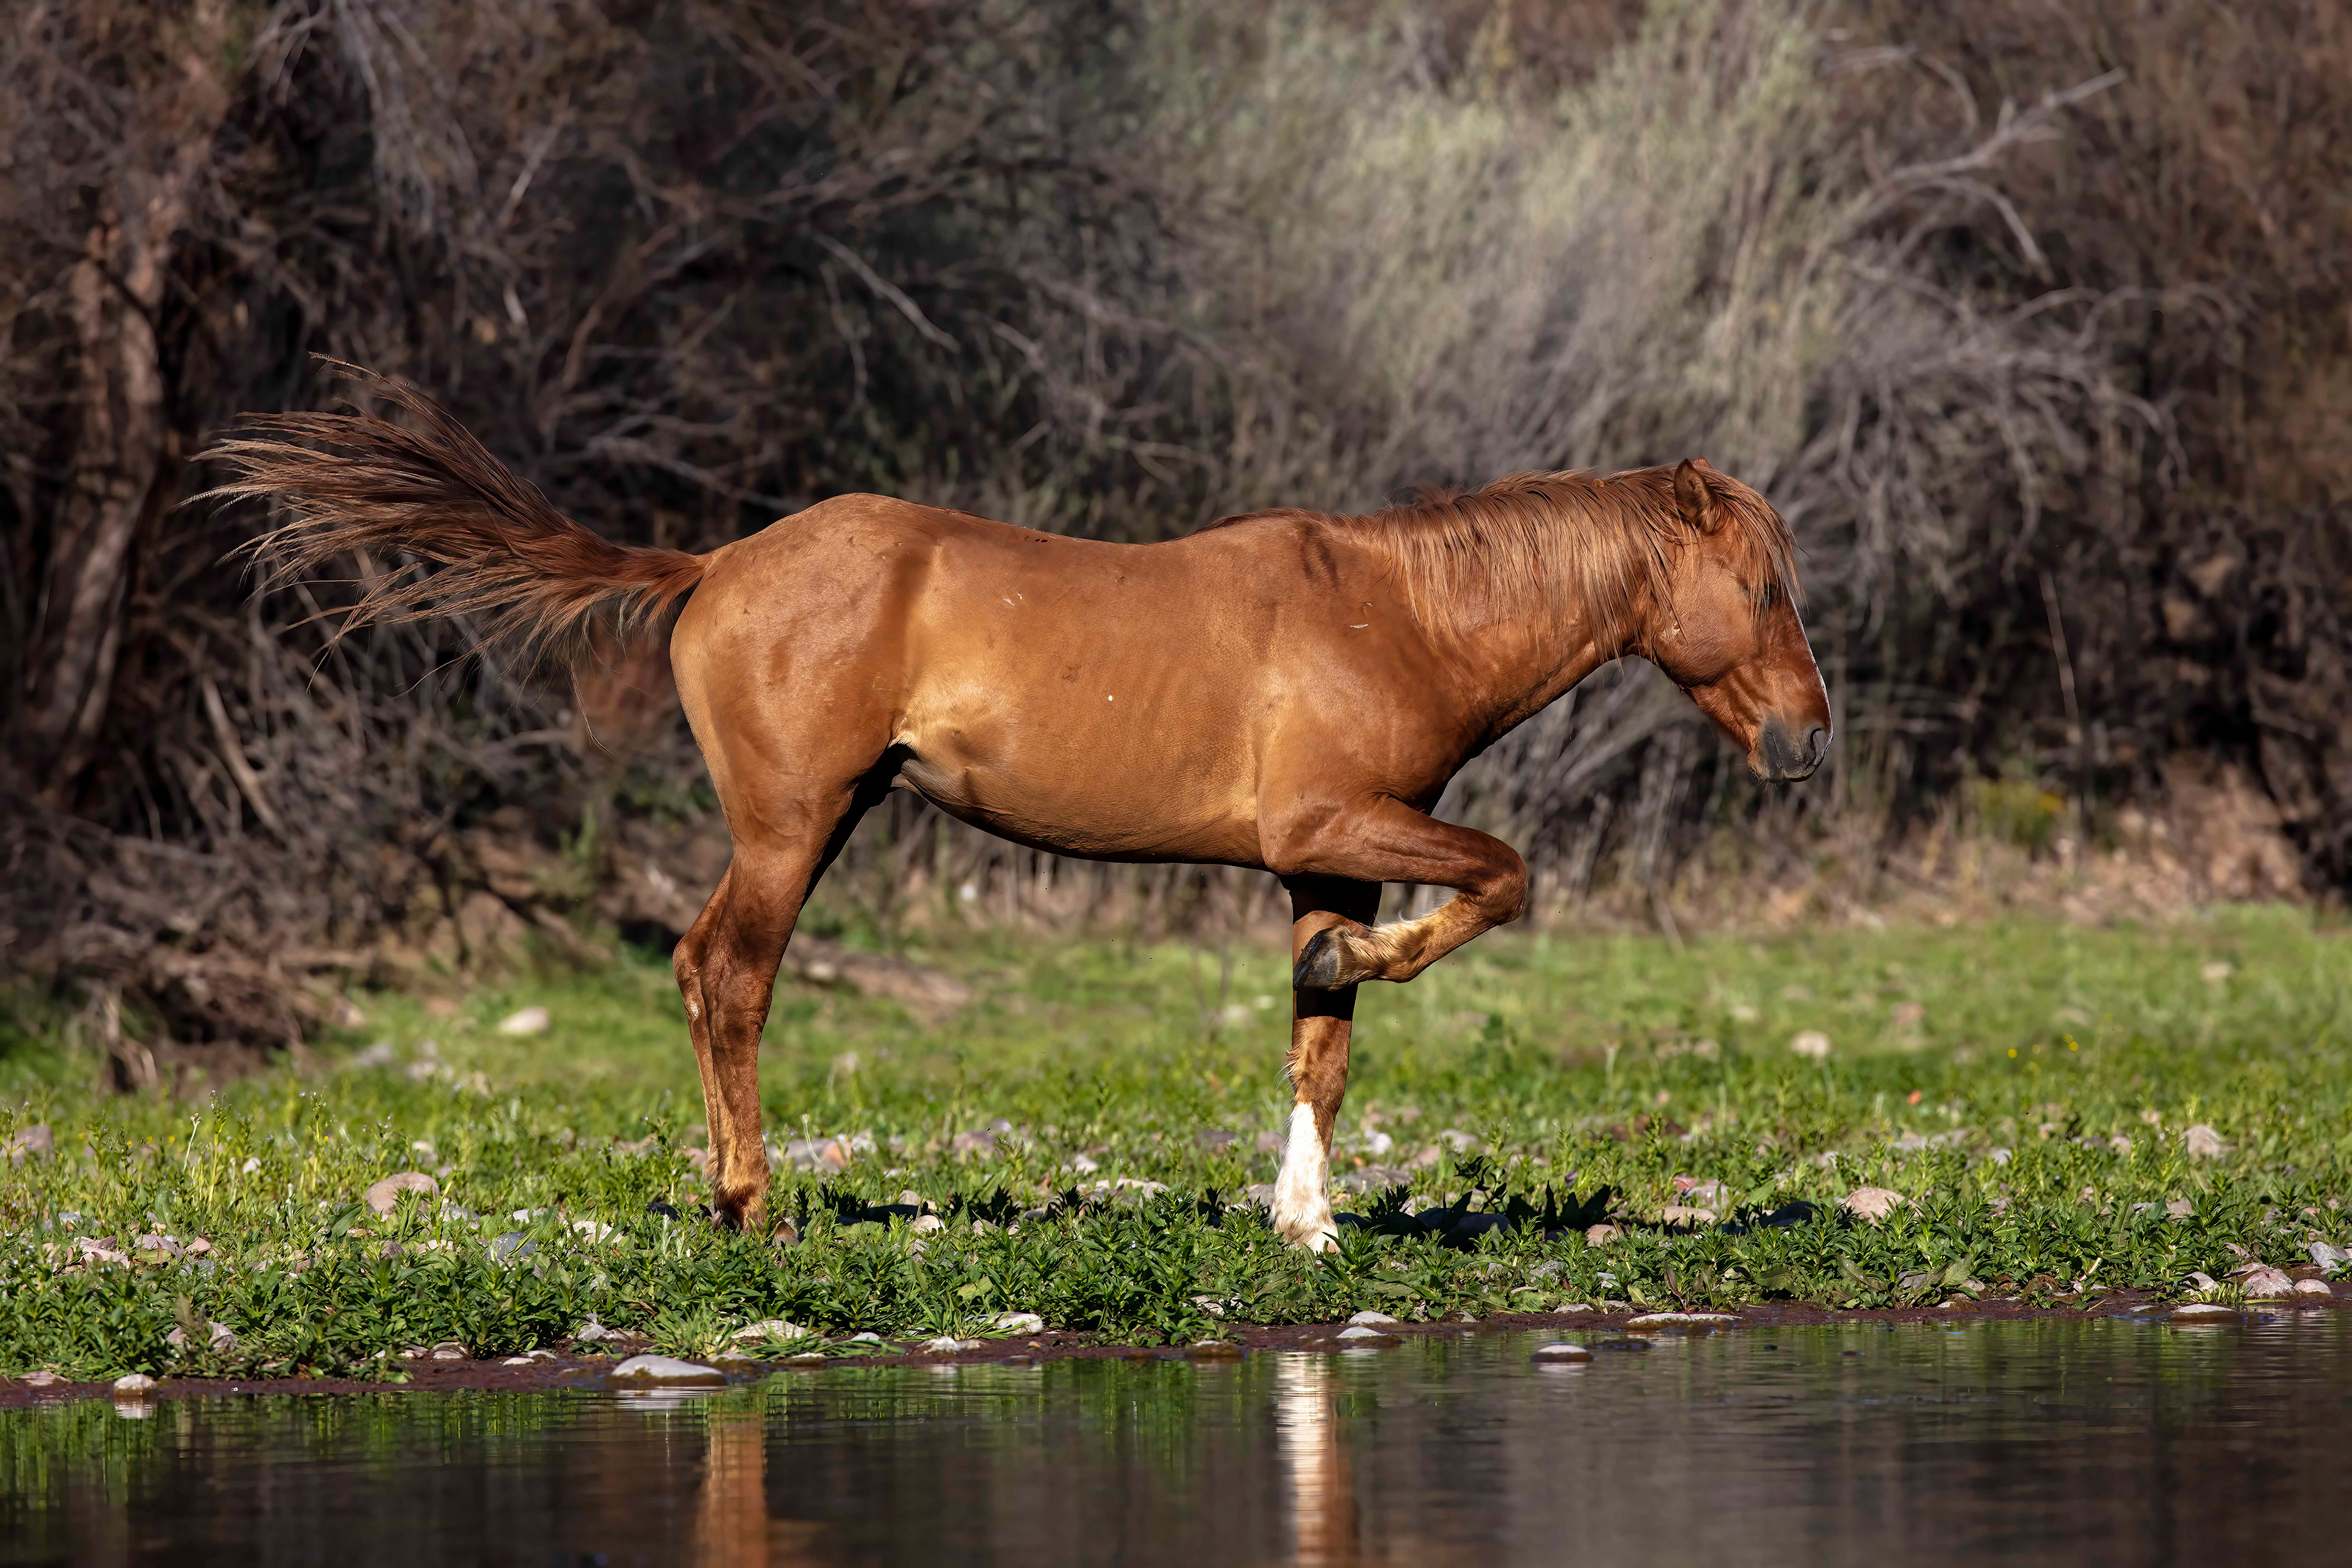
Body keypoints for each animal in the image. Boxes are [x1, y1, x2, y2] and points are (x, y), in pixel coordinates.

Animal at [210, 368, 1831, 1251]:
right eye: (1760, 587)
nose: (1808, 738)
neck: (1393, 614)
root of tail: (713, 564)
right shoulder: (1329, 828)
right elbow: (1503, 875)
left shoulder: (1336, 860)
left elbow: (1323, 1041)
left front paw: (1305, 1215)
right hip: (792, 826)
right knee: (729, 974)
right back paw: (749, 1201)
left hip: (831, 816)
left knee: (701, 967)